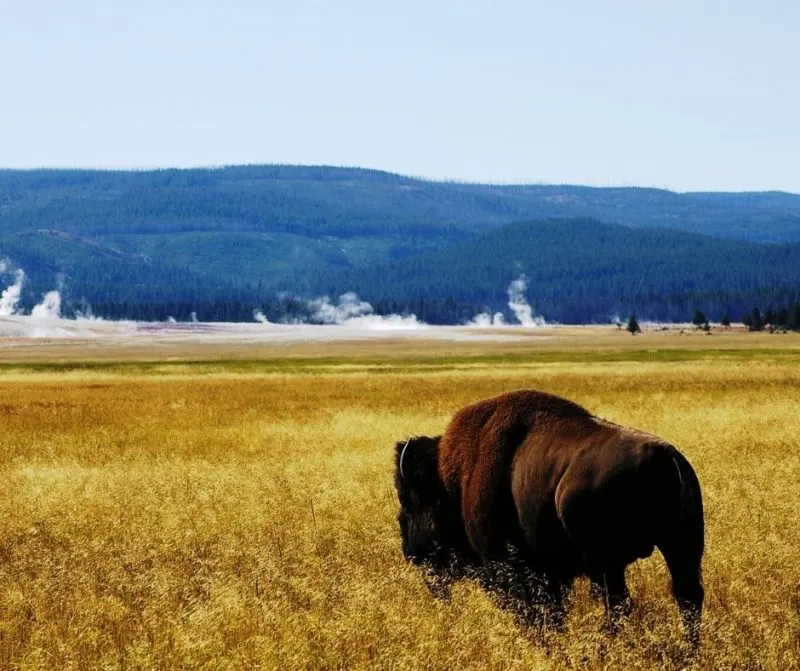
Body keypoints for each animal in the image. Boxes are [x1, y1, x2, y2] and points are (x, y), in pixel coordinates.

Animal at [394, 389, 704, 646]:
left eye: (408, 502)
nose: (410, 553)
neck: (453, 481)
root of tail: (665, 458)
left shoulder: (509, 567)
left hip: (609, 563)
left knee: (620, 604)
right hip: (681, 548)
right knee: (687, 598)